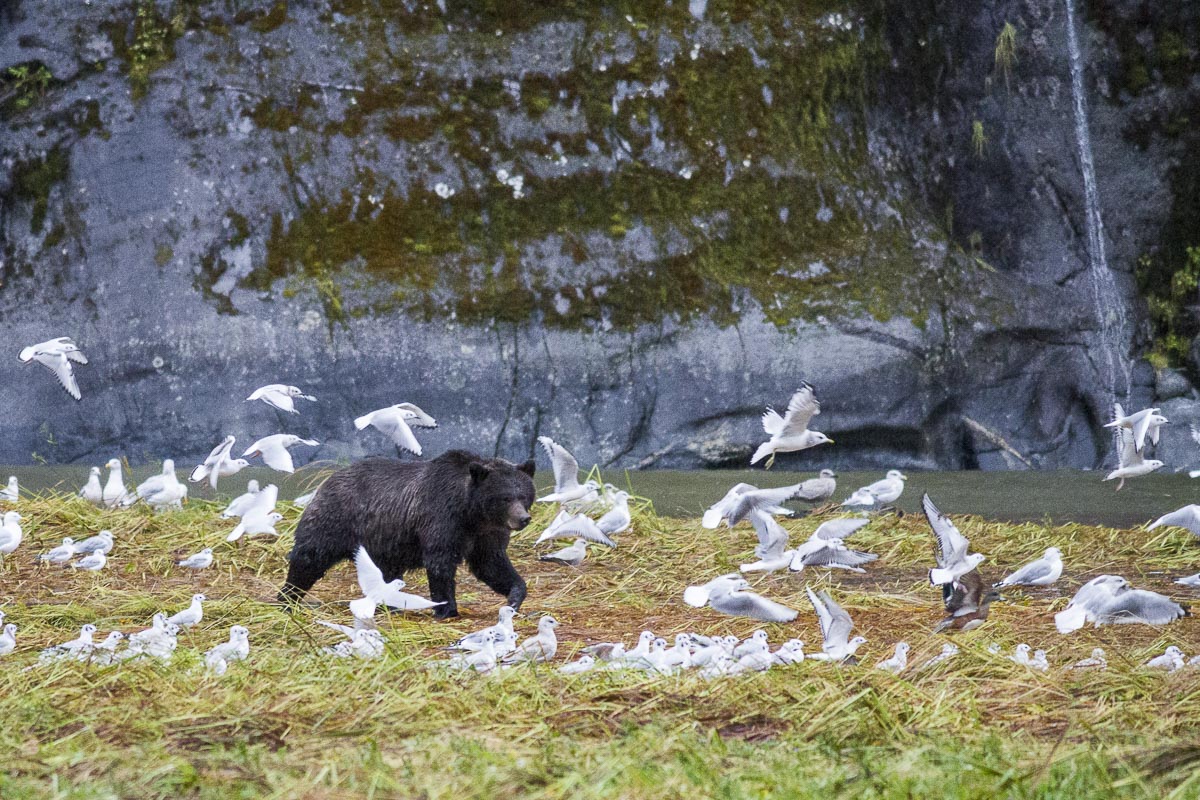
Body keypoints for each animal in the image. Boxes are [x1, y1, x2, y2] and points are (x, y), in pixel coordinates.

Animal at [277, 450, 535, 619]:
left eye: (523, 495)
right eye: (505, 497)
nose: (523, 518)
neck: (472, 513)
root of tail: (330, 477)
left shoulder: (486, 535)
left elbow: (491, 565)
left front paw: (514, 597)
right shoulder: (441, 520)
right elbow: (440, 564)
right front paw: (446, 608)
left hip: (382, 541)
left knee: (386, 572)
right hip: (336, 518)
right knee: (310, 556)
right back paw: (288, 596)